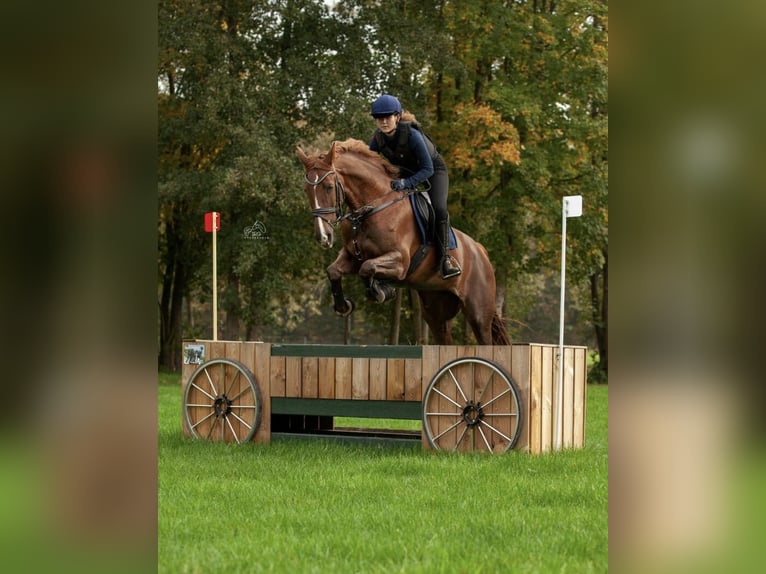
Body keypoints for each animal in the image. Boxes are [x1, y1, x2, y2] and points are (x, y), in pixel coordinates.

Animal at [296, 138, 512, 346]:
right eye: (306, 190)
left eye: (329, 187)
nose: (323, 236)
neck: (372, 208)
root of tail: (480, 250)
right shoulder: (352, 257)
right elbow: (334, 271)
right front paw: (344, 305)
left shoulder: (400, 262)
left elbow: (367, 268)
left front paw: (381, 292)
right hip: (437, 312)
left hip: (478, 314)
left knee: (486, 339)